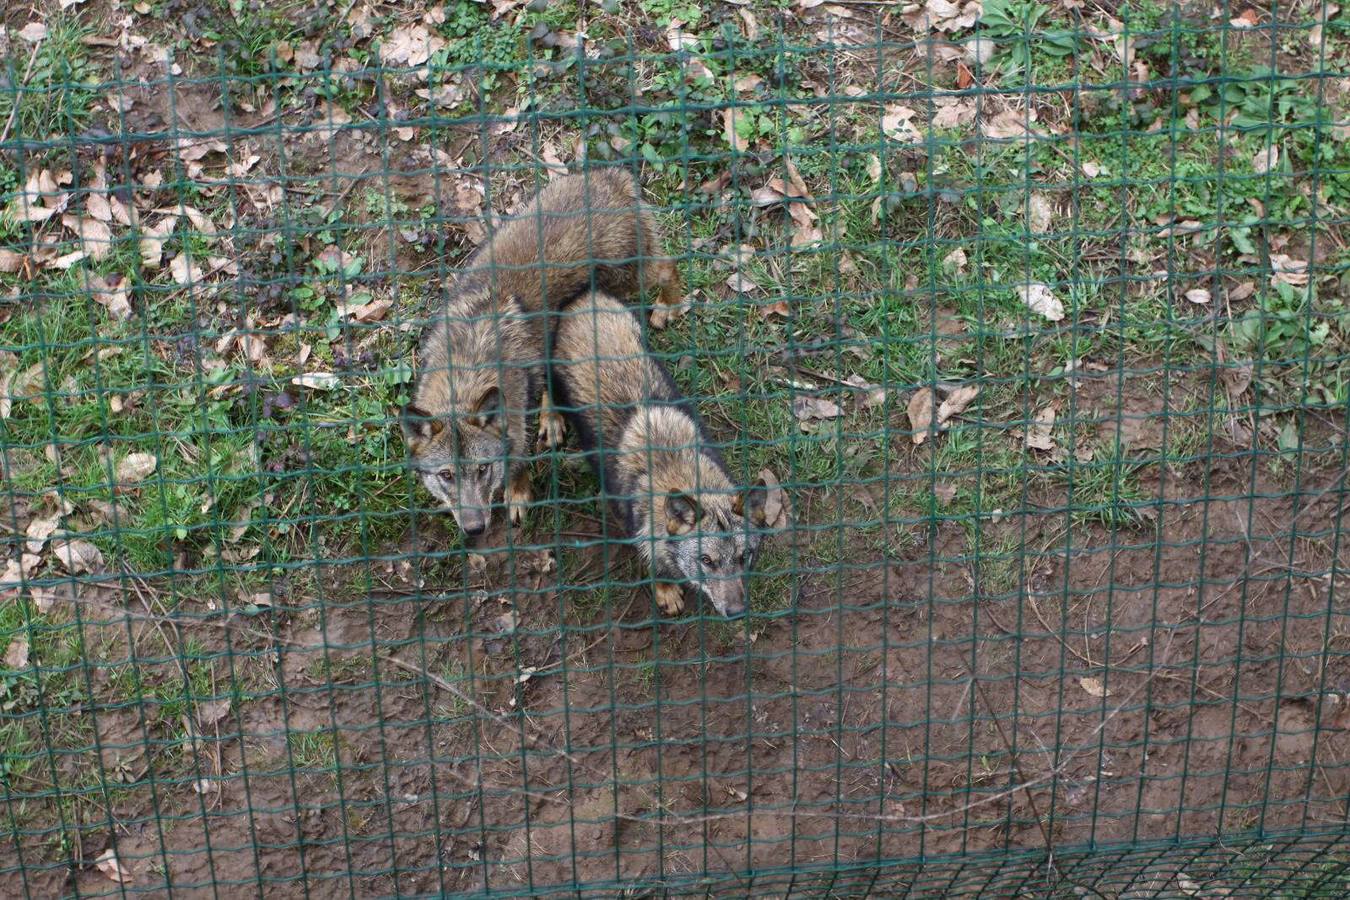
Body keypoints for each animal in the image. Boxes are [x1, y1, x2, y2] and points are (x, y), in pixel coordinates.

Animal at [396, 170, 675, 539]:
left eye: (483, 469)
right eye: (446, 476)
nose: (474, 529)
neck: (468, 370)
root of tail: (608, 175)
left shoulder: (514, 435)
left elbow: (517, 467)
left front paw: (518, 495)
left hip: (631, 277)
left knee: (670, 267)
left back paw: (669, 307)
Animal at [548, 292, 772, 615]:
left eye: (744, 556)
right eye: (707, 561)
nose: (736, 612)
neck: (676, 467)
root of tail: (584, 297)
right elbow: (651, 561)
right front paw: (665, 590)